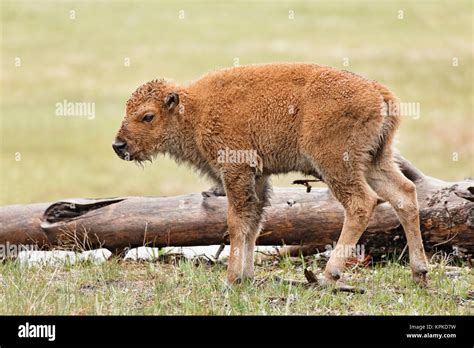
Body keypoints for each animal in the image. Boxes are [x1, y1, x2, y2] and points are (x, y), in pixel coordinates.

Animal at [114, 63, 430, 286]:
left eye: (147, 116)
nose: (119, 145)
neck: (194, 111)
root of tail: (378, 92)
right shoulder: (258, 177)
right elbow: (254, 222)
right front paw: (246, 276)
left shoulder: (236, 171)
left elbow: (237, 221)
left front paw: (231, 279)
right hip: (376, 161)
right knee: (404, 194)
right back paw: (419, 272)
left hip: (336, 164)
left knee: (361, 203)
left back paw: (330, 275)